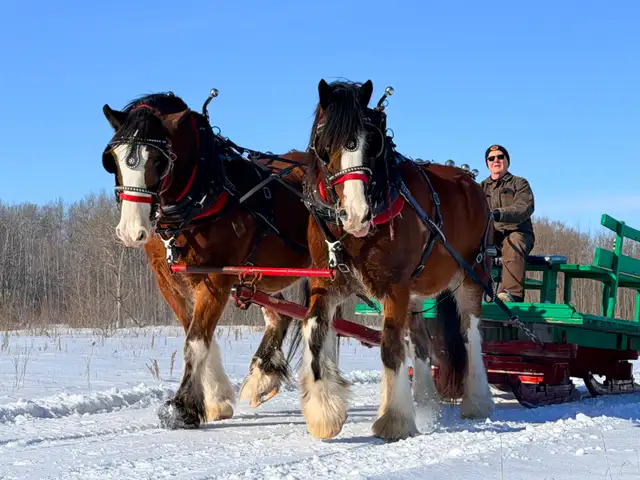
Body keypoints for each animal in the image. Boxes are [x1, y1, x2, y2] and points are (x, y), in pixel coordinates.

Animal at [100, 91, 315, 428]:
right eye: (113, 159)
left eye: (159, 160)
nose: (131, 231)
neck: (204, 193)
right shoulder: (168, 279)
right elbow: (195, 330)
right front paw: (216, 399)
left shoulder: (217, 277)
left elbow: (196, 340)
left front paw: (181, 407)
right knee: (280, 316)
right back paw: (262, 378)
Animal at [293, 79, 496, 442]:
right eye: (325, 142)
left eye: (372, 142)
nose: (356, 214)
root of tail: (471, 182)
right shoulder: (328, 284)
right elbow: (314, 329)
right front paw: (324, 414)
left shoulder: (394, 288)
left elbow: (390, 346)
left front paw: (395, 419)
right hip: (416, 295)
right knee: (421, 341)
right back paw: (425, 399)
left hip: (471, 276)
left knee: (470, 334)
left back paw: (477, 401)